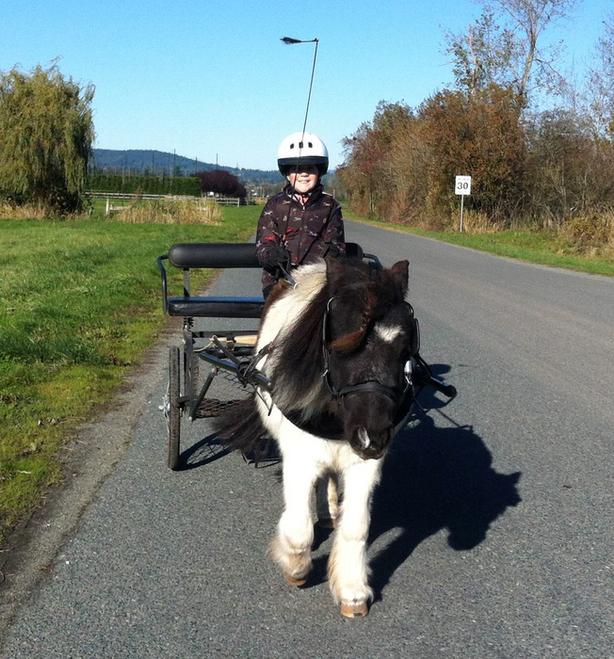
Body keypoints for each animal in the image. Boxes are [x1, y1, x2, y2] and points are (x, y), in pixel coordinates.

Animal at [216, 255, 418, 618]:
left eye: (403, 347)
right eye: (340, 345)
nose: (372, 438)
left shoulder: (365, 465)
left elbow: (356, 526)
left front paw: (352, 589)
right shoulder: (299, 458)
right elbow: (298, 529)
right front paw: (295, 566)